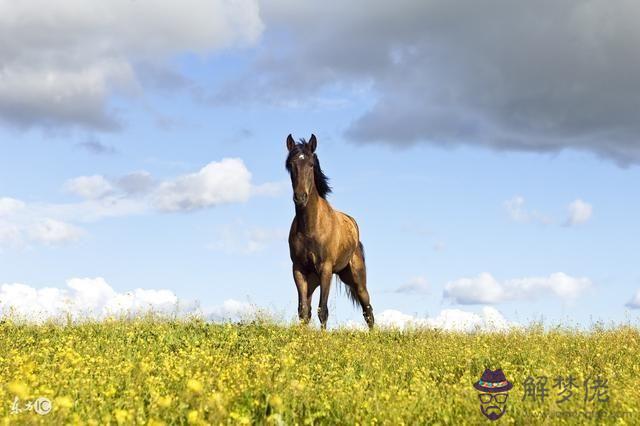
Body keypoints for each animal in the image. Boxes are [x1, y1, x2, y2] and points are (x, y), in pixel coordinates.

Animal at [284, 134, 376, 330]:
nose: (300, 197)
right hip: (313, 281)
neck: (310, 228)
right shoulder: (298, 270)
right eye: (291, 165)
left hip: (356, 279)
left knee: (368, 311)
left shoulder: (325, 269)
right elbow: (303, 311)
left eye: (311, 164)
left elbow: (323, 310)